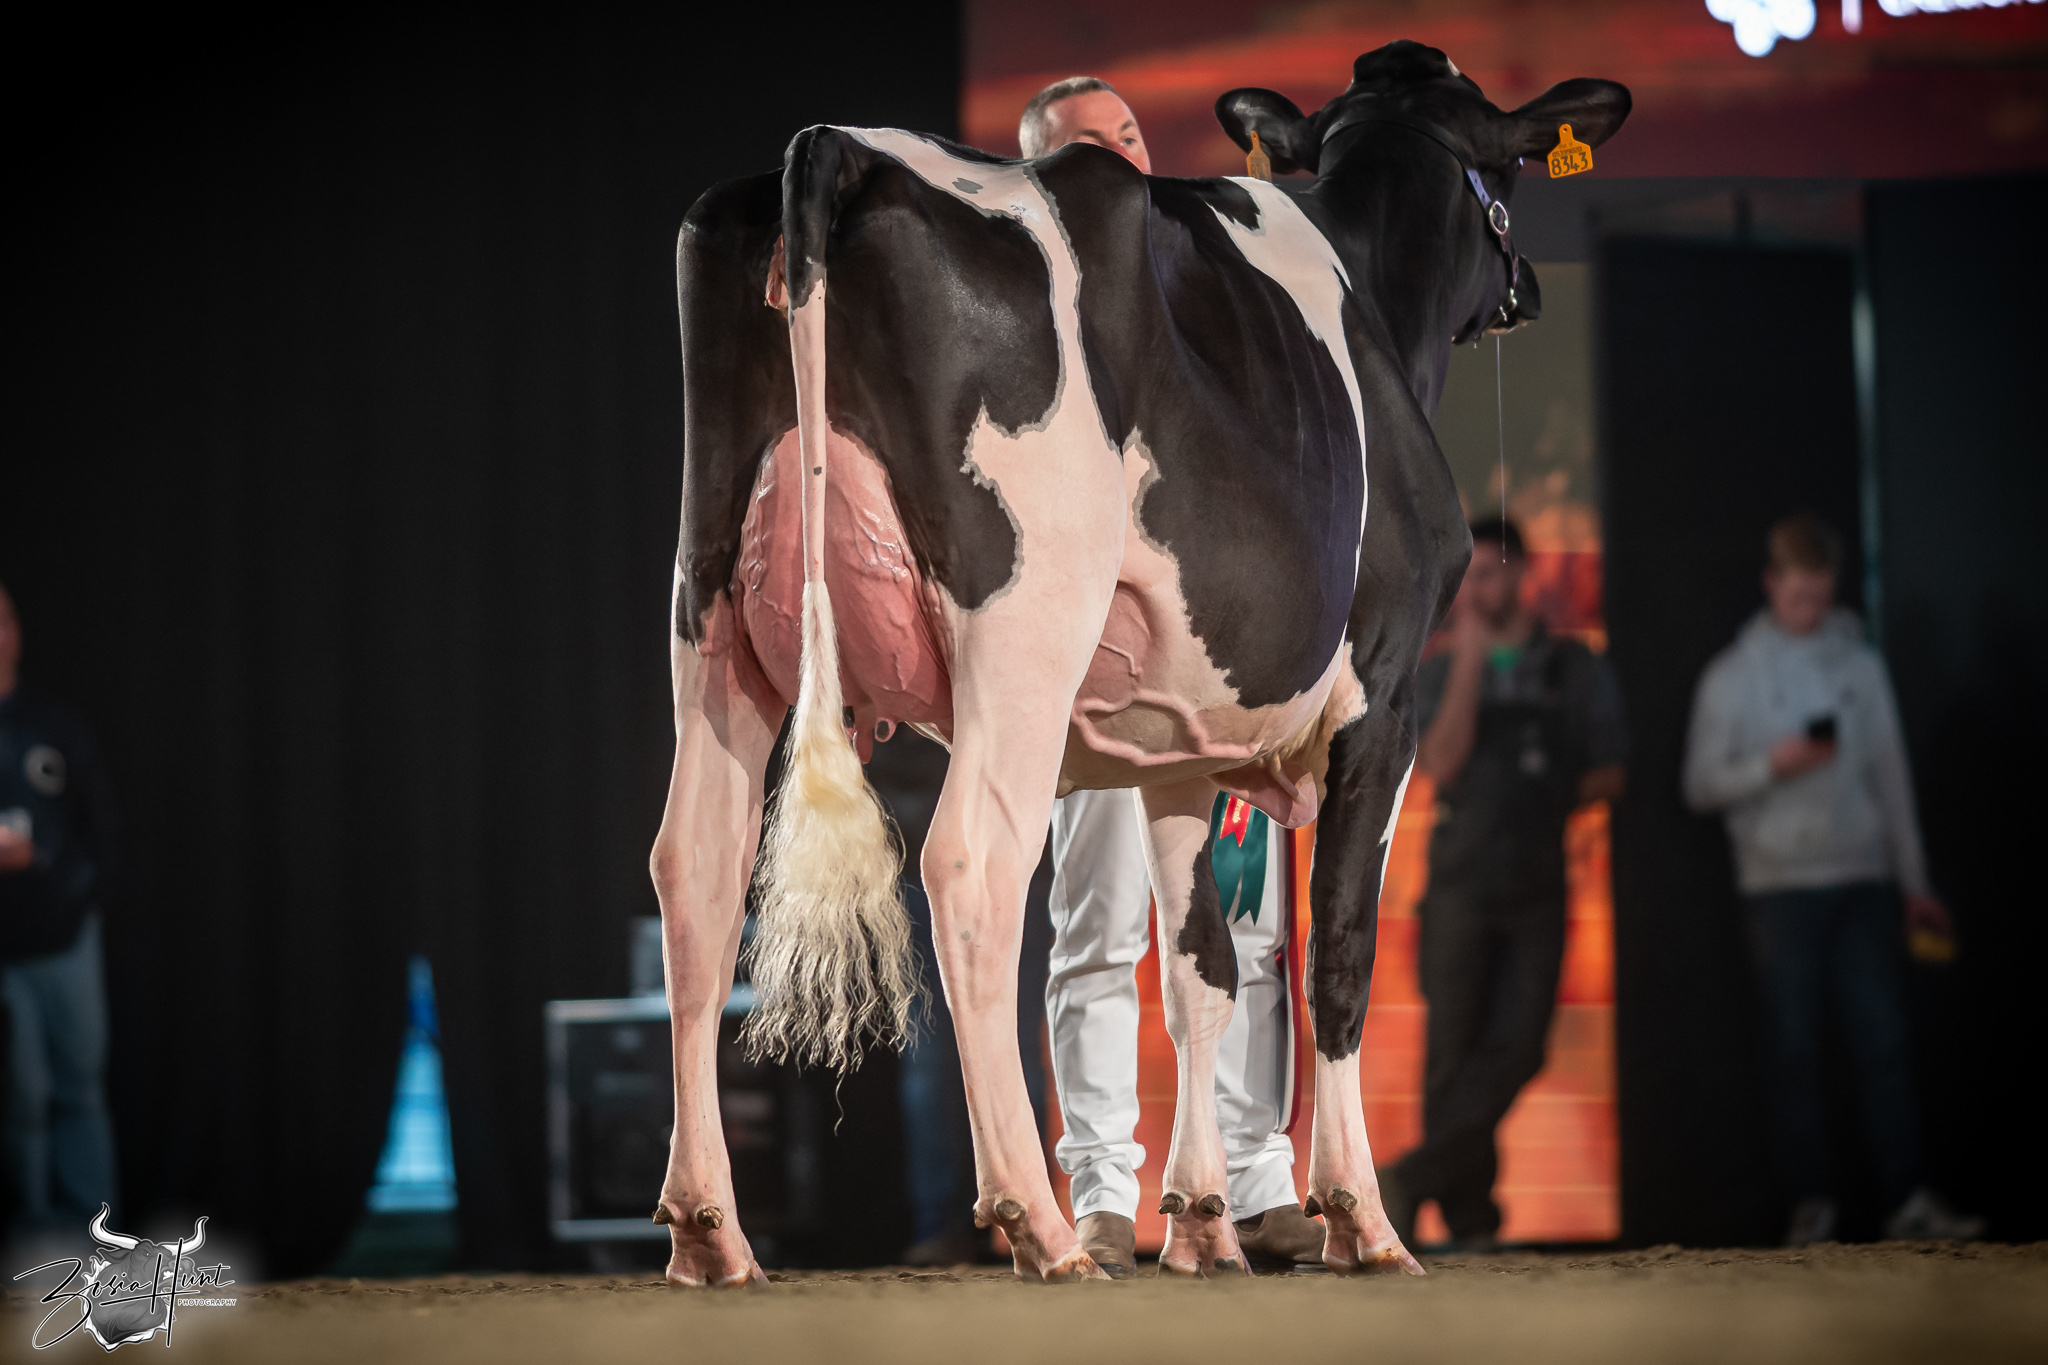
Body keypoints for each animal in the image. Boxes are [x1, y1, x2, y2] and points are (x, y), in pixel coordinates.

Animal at [648, 40, 1629, 1285]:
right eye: (1502, 166)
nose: (1527, 286)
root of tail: (840, 144)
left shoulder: (1174, 747)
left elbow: (1201, 969)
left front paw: (1203, 1218)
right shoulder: (1388, 692)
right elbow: (1339, 952)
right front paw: (1356, 1217)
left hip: (712, 610)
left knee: (695, 869)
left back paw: (709, 1229)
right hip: (1023, 619)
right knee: (969, 866)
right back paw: (1039, 1222)